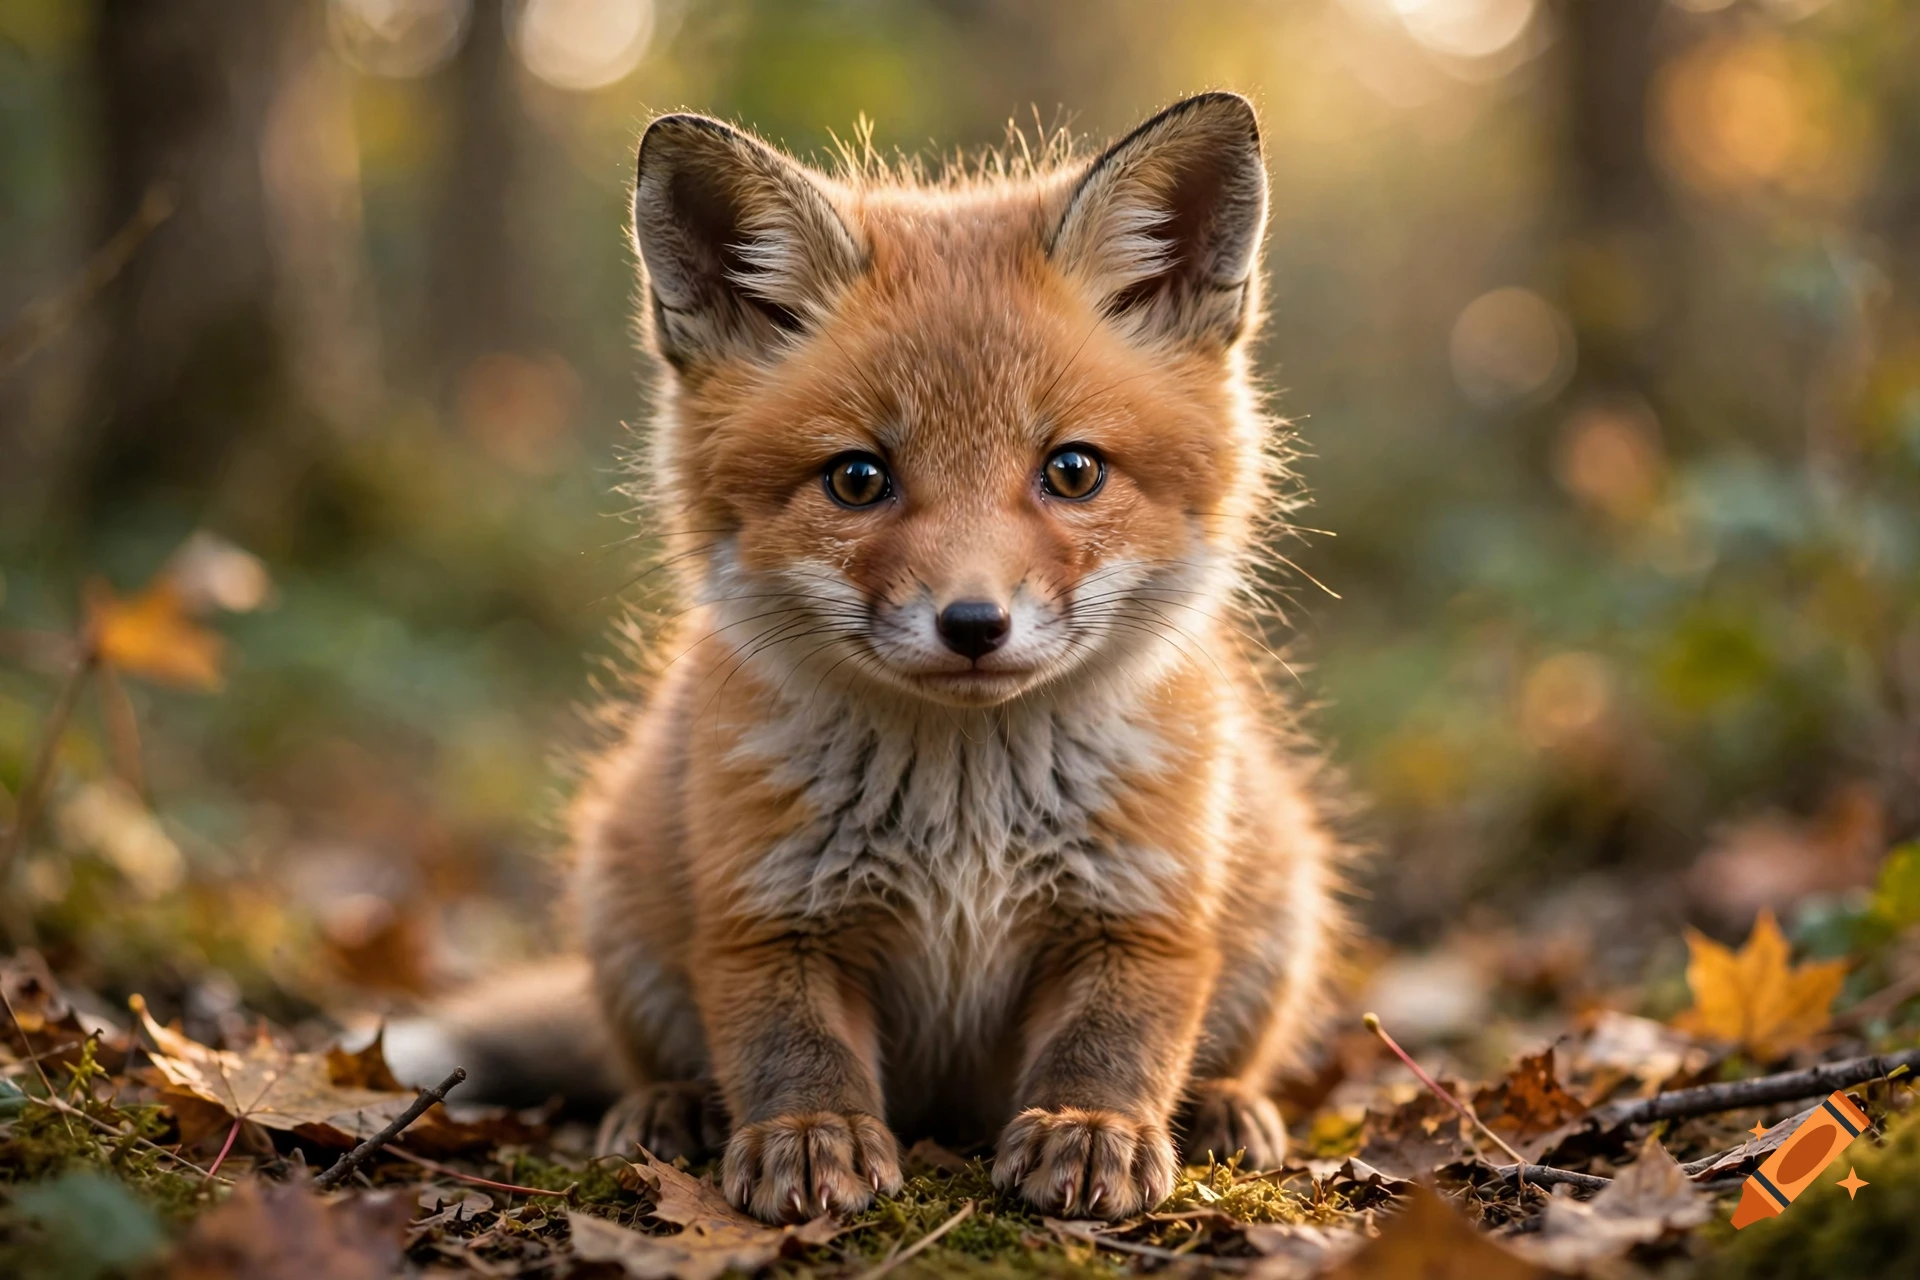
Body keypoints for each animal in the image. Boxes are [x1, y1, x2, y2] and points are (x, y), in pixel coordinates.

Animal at [390, 90, 1348, 1225]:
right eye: (857, 479)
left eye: (1072, 471)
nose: (973, 623)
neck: (968, 815)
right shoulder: (768, 910)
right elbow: (789, 1047)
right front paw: (809, 1136)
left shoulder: (1141, 909)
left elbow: (1114, 1041)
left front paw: (1089, 1126)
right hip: (618, 896)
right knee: (644, 1056)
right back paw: (669, 1107)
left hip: (1280, 901)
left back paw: (1228, 1107)